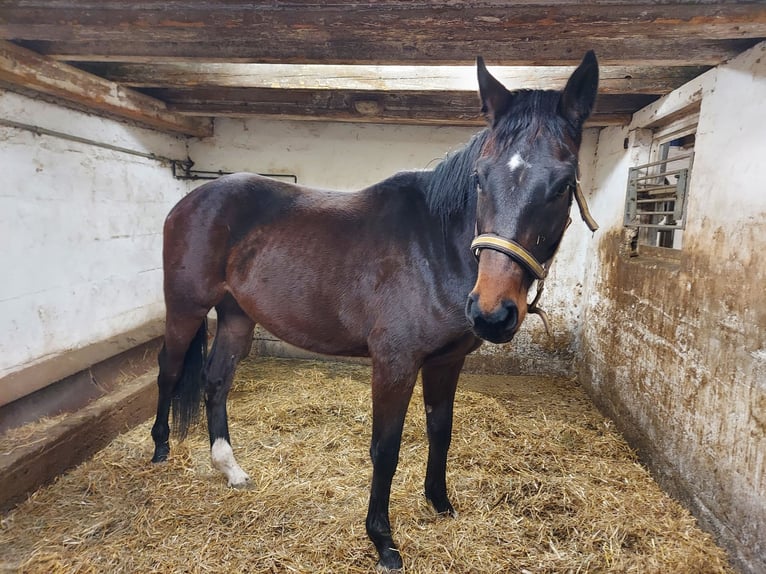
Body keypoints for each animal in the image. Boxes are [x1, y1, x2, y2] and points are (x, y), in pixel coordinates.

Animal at [153, 53, 604, 572]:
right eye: (480, 178)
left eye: (563, 184)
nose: (491, 313)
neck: (434, 248)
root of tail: (190, 200)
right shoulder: (394, 363)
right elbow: (385, 448)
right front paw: (383, 539)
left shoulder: (447, 361)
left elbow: (441, 430)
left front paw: (440, 503)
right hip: (185, 307)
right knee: (169, 370)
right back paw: (160, 447)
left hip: (236, 317)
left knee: (216, 381)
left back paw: (230, 468)